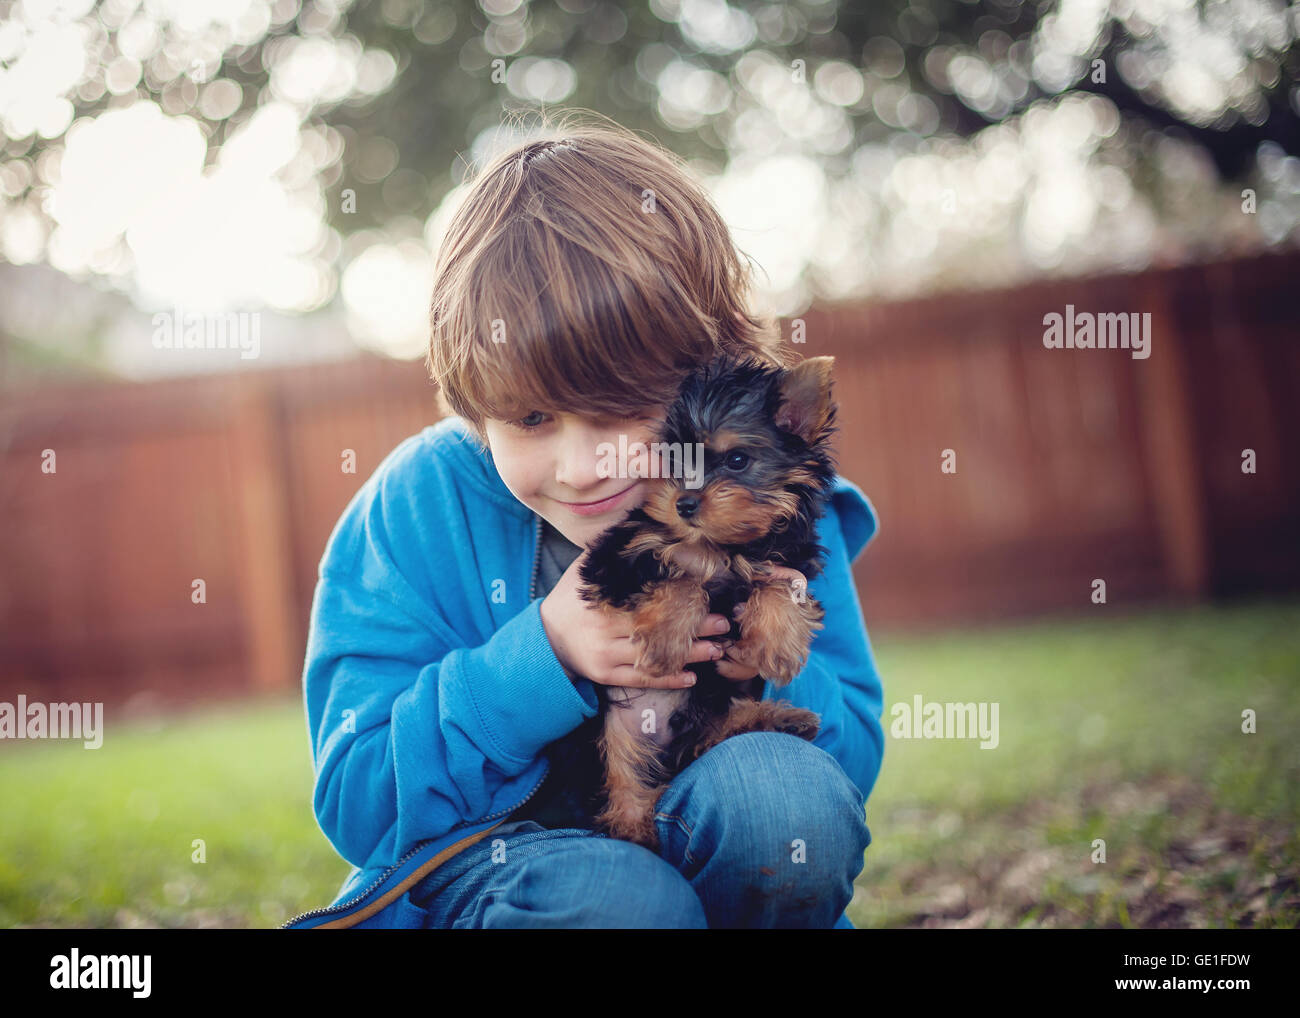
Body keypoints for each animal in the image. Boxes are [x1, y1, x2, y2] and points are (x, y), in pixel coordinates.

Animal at [577, 353, 837, 847]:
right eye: (673, 460)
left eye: (737, 460)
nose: (683, 503)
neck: (723, 545)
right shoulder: (614, 561)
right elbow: (683, 581)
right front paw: (664, 640)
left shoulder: (786, 561)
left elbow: (778, 585)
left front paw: (777, 643)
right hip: (609, 731)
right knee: (620, 770)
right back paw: (636, 822)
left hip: (708, 703)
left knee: (711, 730)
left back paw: (778, 718)